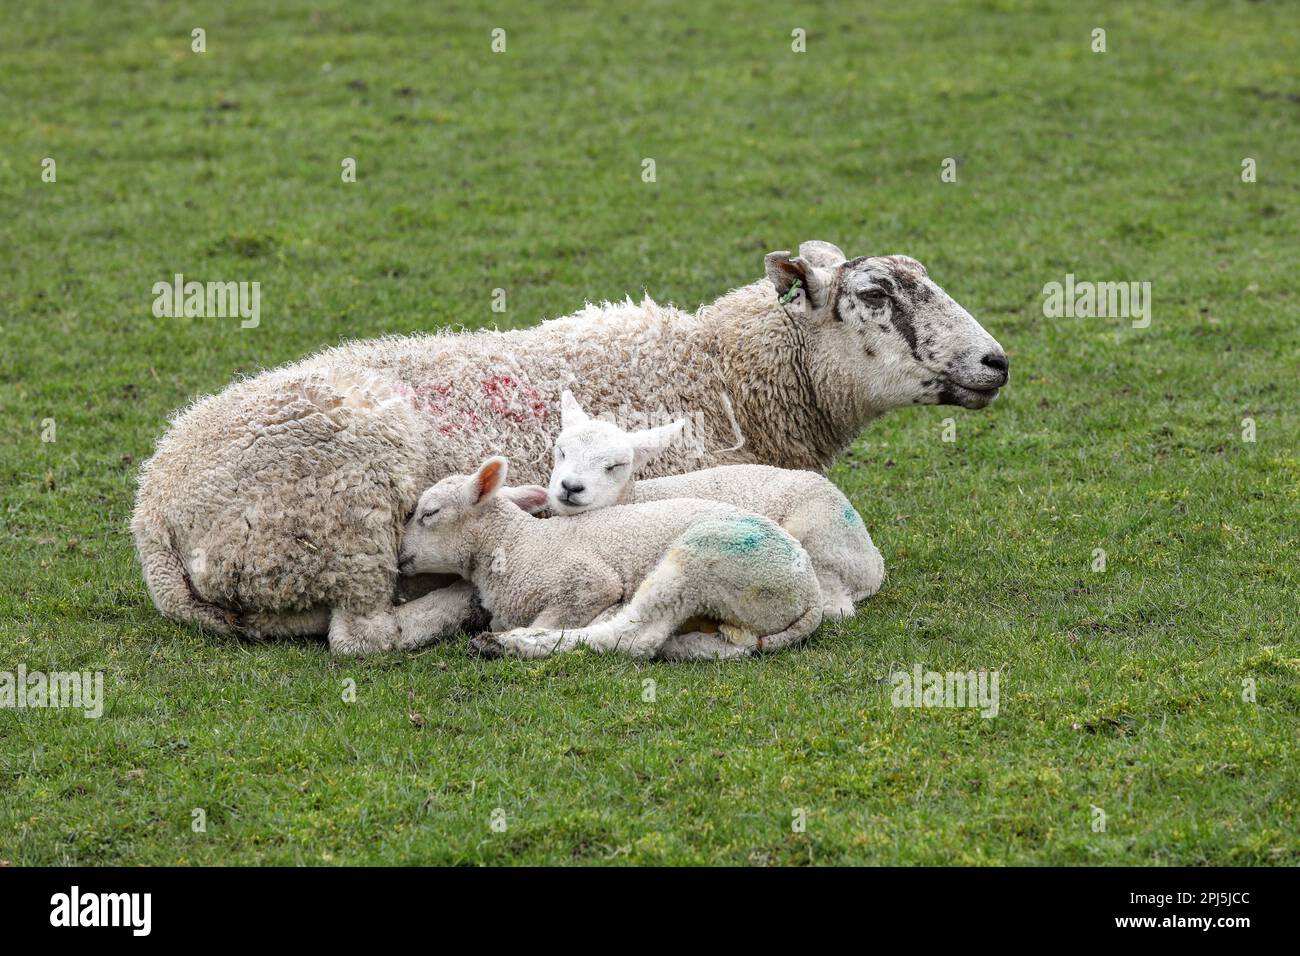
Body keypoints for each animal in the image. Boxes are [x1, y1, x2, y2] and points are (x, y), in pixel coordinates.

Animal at [395, 457, 823, 660]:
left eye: (429, 513)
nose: (398, 556)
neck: (516, 544)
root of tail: (812, 595)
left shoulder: (585, 582)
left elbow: (574, 608)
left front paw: (526, 635)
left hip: (705, 558)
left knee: (634, 636)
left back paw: (511, 644)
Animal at [547, 390, 885, 617]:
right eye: (560, 451)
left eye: (615, 466)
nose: (571, 487)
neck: (636, 497)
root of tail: (873, 562)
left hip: (818, 534)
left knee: (836, 601)